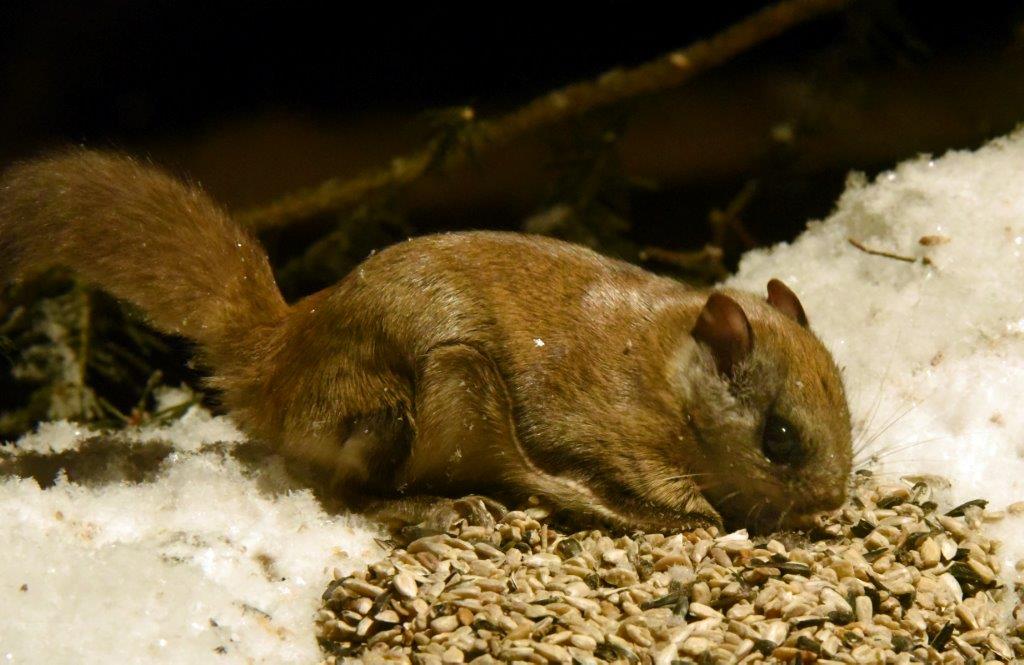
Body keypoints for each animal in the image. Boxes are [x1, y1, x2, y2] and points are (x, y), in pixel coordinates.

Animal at [0, 150, 852, 534]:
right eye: (779, 437)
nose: (833, 501)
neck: (666, 374)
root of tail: (279, 359)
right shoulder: (601, 430)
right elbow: (622, 485)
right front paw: (684, 514)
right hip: (415, 401)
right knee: (347, 494)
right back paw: (441, 508)